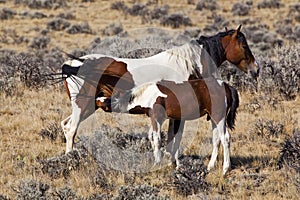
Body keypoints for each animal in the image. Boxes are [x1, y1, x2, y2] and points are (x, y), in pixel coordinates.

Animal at [97, 77, 238, 174]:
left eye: (103, 101)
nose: (96, 101)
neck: (148, 94)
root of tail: (225, 85)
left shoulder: (158, 119)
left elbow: (158, 139)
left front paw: (157, 163)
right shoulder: (167, 119)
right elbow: (158, 138)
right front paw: (171, 163)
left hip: (219, 118)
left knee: (225, 138)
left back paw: (225, 169)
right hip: (214, 119)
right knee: (216, 140)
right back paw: (210, 166)